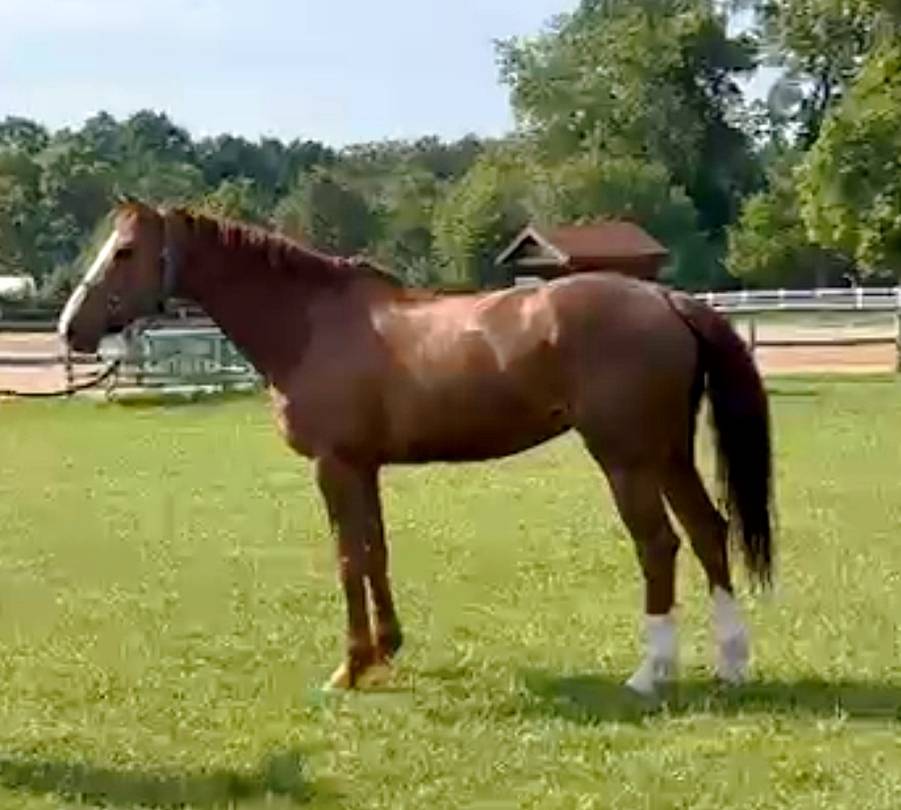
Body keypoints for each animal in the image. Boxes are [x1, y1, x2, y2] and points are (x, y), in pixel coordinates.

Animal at [59, 201, 774, 697]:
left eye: (125, 251)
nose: (71, 328)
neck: (310, 322)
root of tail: (665, 298)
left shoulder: (335, 466)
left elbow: (348, 558)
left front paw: (349, 668)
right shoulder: (364, 467)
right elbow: (376, 553)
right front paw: (385, 650)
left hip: (627, 459)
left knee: (659, 545)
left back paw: (650, 673)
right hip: (668, 453)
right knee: (709, 532)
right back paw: (731, 666)